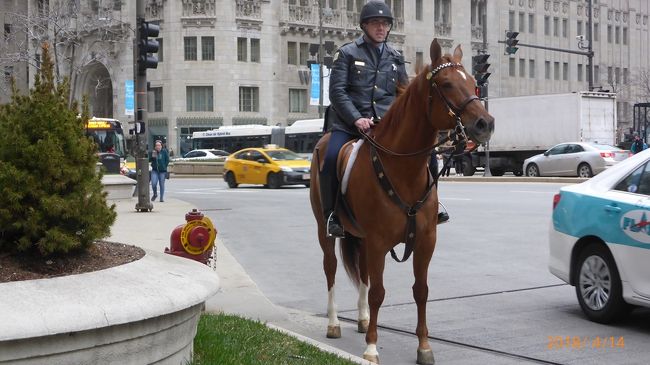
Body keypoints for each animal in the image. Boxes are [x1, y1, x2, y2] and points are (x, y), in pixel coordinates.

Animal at [308, 38, 492, 362]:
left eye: (473, 83)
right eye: (446, 84)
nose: (485, 123)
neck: (402, 169)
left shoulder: (425, 241)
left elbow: (421, 290)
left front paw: (424, 346)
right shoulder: (379, 241)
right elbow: (378, 292)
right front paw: (371, 348)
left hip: (362, 238)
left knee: (363, 273)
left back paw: (362, 319)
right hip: (325, 229)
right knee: (330, 268)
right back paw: (334, 323)